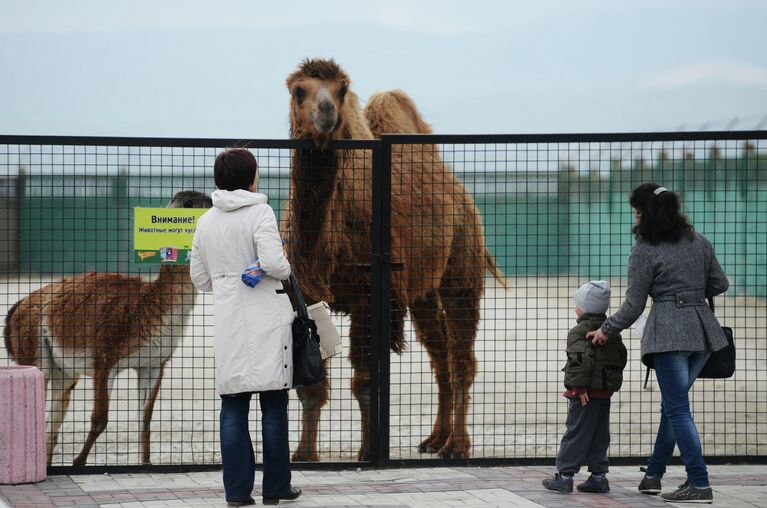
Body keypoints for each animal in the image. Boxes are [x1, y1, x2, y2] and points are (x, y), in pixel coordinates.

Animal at [4, 190, 213, 464]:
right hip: (34, 351)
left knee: (53, 423)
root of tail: (18, 306)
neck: (149, 307)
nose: (212, 203)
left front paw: (145, 463)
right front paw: (78, 462)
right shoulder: (105, 358)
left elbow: (144, 421)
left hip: (64, 371)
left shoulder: (153, 364)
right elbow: (99, 420)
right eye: (189, 204)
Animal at [284, 58, 504, 460]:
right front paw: (305, 455)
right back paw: (434, 439)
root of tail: (461, 193)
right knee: (440, 353)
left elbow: (365, 381)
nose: (326, 112)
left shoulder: (370, 296)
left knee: (462, 355)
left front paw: (366, 453)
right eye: (298, 90)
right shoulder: (305, 295)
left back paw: (457, 445)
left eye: (341, 89)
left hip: (462, 260)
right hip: (423, 292)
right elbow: (312, 383)